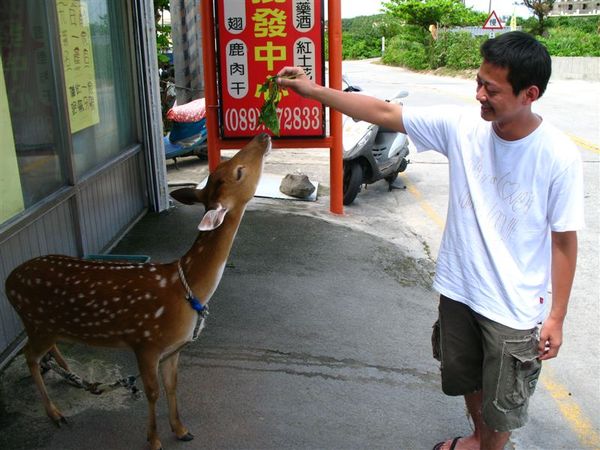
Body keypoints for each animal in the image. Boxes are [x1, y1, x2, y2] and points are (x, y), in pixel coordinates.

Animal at [4, 132, 272, 448]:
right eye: (238, 172)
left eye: (225, 168)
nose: (263, 136)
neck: (185, 287)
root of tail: (9, 282)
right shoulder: (145, 342)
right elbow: (151, 391)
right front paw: (154, 439)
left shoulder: (172, 349)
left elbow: (172, 386)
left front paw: (181, 429)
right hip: (38, 321)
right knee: (28, 356)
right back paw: (56, 413)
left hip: (44, 325)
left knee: (40, 351)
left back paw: (71, 374)